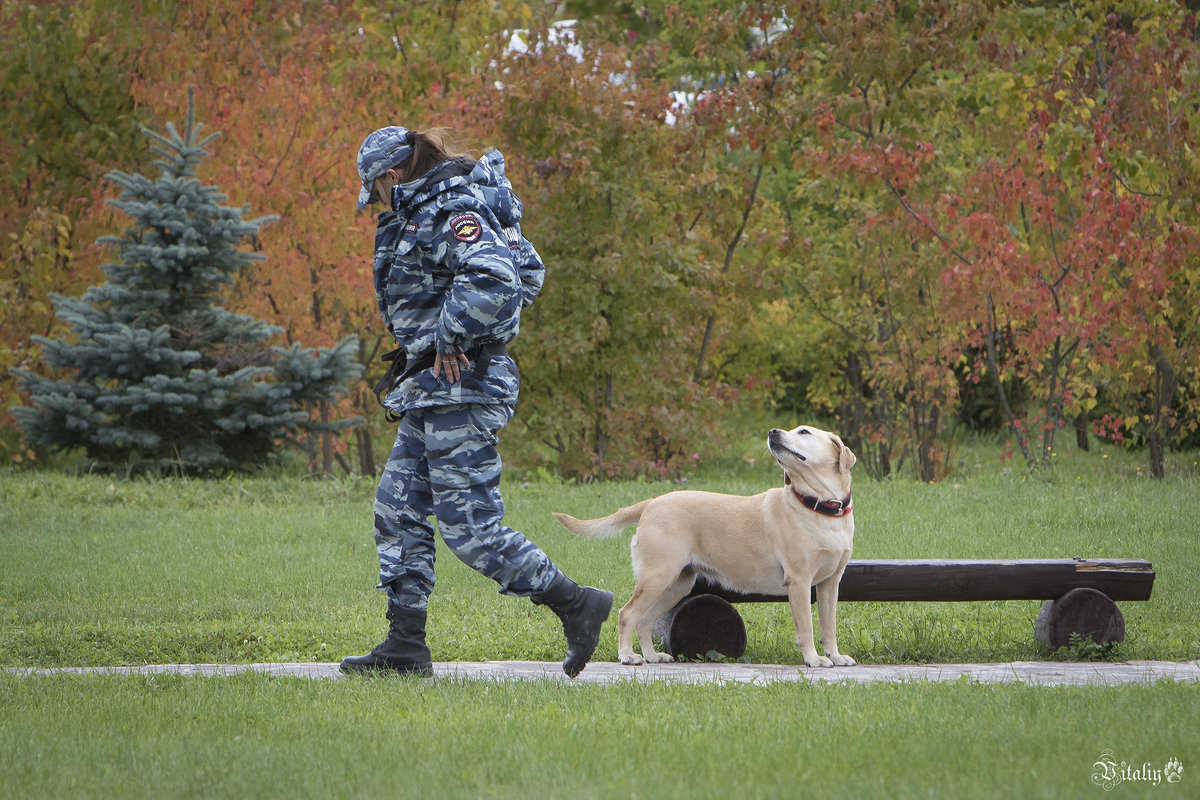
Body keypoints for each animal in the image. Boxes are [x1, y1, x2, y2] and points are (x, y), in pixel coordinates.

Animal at [552, 424, 854, 671]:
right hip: (658, 576)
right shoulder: (799, 581)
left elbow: (829, 626)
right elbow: (806, 627)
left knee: (645, 619)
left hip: (677, 584)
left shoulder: (831, 583)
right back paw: (627, 656)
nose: (772, 432)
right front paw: (813, 659)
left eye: (804, 431)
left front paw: (836, 656)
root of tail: (651, 503)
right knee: (627, 613)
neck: (819, 508)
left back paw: (651, 656)